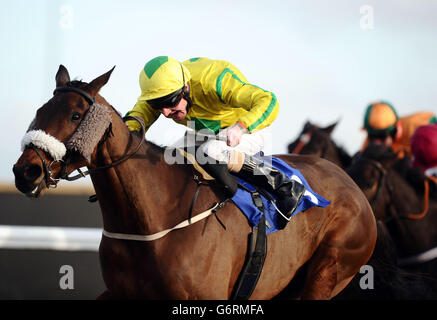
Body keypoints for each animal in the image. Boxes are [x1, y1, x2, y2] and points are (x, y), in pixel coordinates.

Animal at [11, 65, 376, 300]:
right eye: (40, 111)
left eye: (75, 115)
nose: (25, 172)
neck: (152, 219)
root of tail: (351, 183)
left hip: (330, 271)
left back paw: (290, 192)